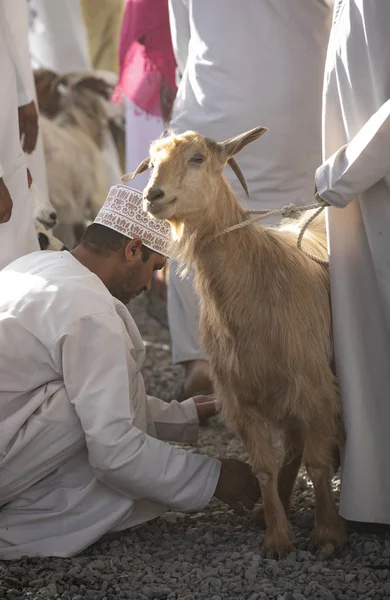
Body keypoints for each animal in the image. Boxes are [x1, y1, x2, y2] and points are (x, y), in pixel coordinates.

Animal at [124, 127, 344, 564]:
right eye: (152, 162)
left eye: (197, 158)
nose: (153, 195)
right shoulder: (241, 397)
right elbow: (263, 468)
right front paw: (276, 537)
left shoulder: (314, 388)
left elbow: (317, 463)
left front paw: (327, 535)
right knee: (291, 447)